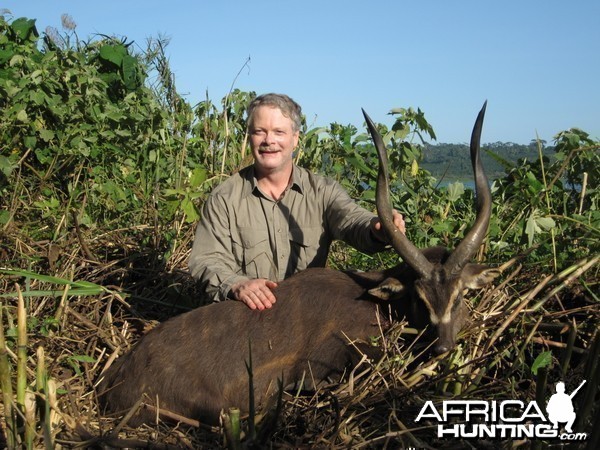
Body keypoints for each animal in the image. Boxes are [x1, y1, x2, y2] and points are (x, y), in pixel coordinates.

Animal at [98, 102, 500, 426]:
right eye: (420, 297)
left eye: (460, 296)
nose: (443, 349)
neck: (379, 304)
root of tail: (113, 384)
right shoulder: (324, 361)